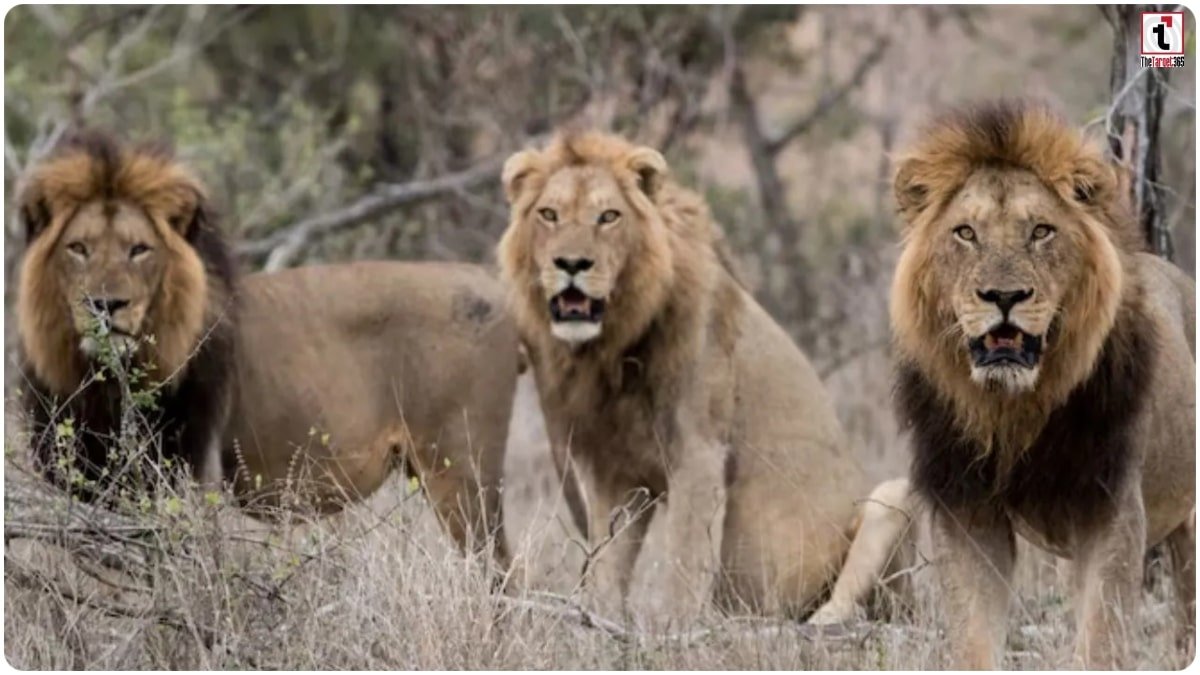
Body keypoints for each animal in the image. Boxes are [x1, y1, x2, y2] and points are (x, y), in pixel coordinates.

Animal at [497, 131, 912, 620]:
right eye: (549, 214)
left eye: (608, 216)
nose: (572, 264)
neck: (614, 343)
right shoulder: (615, 471)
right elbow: (607, 564)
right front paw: (601, 620)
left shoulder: (698, 454)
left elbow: (684, 561)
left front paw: (674, 630)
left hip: (892, 500)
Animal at [890, 99, 1195, 668]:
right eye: (966, 233)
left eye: (1040, 231)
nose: (1003, 295)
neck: (1015, 408)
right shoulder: (966, 511)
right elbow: (973, 639)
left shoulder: (1110, 509)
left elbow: (1100, 642)